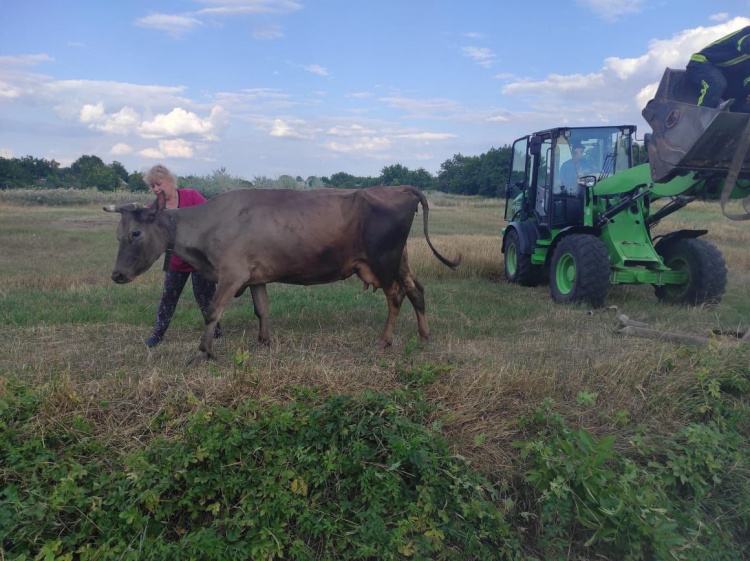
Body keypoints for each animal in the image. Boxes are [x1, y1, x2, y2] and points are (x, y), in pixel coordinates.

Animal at [103, 184, 462, 358]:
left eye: (136, 233)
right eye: (117, 234)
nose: (117, 275)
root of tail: (398, 187)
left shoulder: (232, 273)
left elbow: (212, 311)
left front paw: (203, 352)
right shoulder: (255, 276)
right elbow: (262, 309)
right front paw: (264, 341)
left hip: (382, 262)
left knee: (396, 296)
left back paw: (385, 341)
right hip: (398, 260)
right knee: (416, 289)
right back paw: (424, 336)